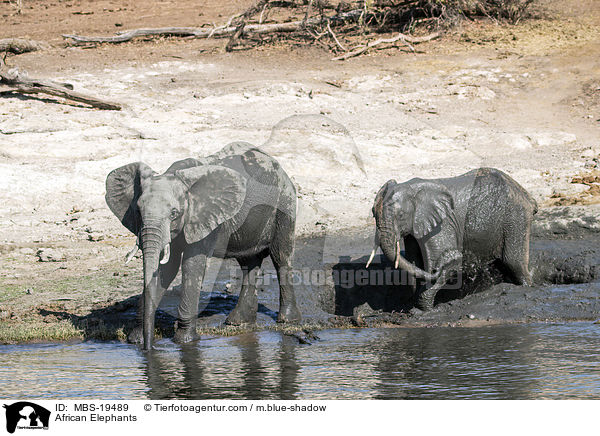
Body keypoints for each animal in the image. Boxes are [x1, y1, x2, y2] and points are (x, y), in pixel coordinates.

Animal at [106, 143, 302, 350]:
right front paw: (135, 340)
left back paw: (287, 320)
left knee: (281, 257)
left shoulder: (205, 218)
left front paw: (185, 341)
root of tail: (280, 167)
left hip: (285, 204)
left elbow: (191, 265)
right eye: (137, 211)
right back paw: (238, 322)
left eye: (174, 213)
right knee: (248, 262)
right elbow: (166, 268)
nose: (148, 348)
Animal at [368, 167, 536, 310]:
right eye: (373, 213)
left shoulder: (441, 225)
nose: (451, 256)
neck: (411, 189)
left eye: (401, 215)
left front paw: (426, 310)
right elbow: (415, 263)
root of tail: (526, 194)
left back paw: (527, 287)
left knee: (513, 262)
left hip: (516, 216)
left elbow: (444, 265)